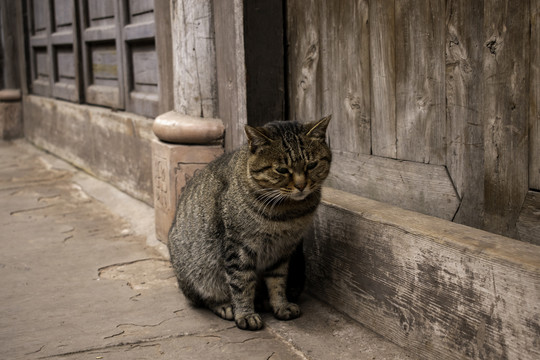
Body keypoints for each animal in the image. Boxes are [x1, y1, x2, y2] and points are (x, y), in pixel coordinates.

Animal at [169, 116, 332, 330]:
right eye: (281, 170)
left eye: (311, 165)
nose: (301, 185)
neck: (288, 214)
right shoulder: (239, 247)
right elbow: (241, 282)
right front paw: (245, 314)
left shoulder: (282, 250)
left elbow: (278, 281)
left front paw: (281, 305)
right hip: (199, 272)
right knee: (205, 297)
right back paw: (226, 306)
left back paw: (262, 301)